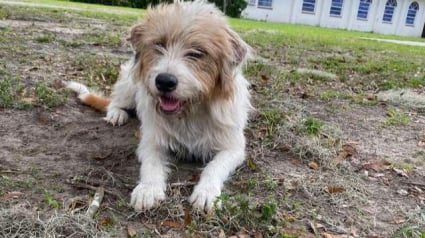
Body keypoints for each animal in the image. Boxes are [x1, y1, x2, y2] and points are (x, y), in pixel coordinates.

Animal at [66, 0, 250, 212]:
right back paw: (117, 114)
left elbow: (214, 167)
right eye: (159, 44)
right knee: (116, 101)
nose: (164, 81)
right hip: (130, 83)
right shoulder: (151, 141)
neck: (189, 113)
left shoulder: (233, 148)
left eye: (197, 53)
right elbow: (151, 165)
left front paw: (207, 192)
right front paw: (148, 189)